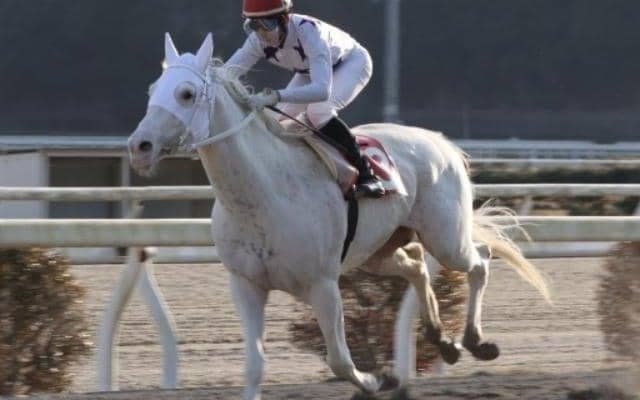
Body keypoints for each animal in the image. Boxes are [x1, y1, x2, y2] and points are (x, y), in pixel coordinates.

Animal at [128, 33, 551, 400]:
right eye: (152, 90)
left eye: (186, 93)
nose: (139, 146)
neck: (261, 196)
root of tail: (439, 140)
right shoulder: (246, 284)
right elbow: (254, 366)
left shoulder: (323, 284)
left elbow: (340, 361)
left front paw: (380, 380)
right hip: (378, 250)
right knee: (416, 266)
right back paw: (443, 341)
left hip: (445, 237)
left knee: (479, 260)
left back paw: (477, 341)